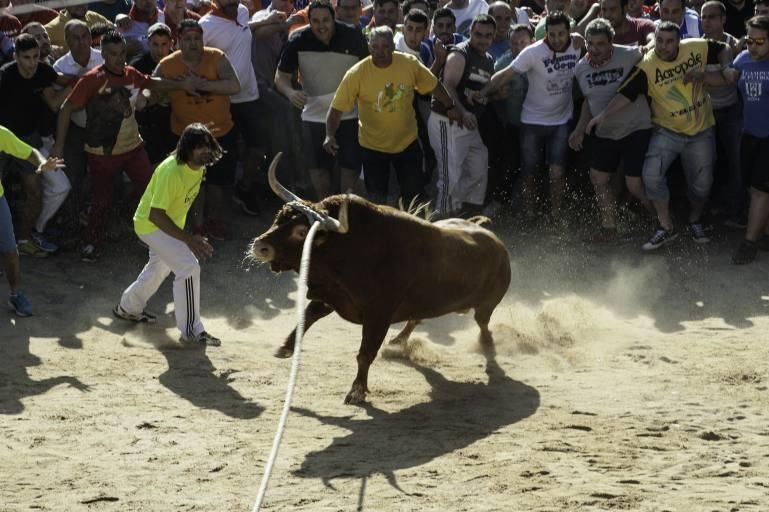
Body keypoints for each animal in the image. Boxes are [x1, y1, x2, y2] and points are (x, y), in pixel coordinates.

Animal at [252, 154, 510, 402]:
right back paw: (398, 341)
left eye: (301, 232)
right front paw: (285, 348)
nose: (259, 246)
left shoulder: (378, 316)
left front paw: (357, 391)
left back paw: (488, 346)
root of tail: (495, 240)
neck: (349, 248)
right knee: (416, 319)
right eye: (279, 217)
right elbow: (306, 318)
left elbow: (365, 353)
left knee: (482, 323)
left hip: (486, 305)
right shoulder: (329, 296)